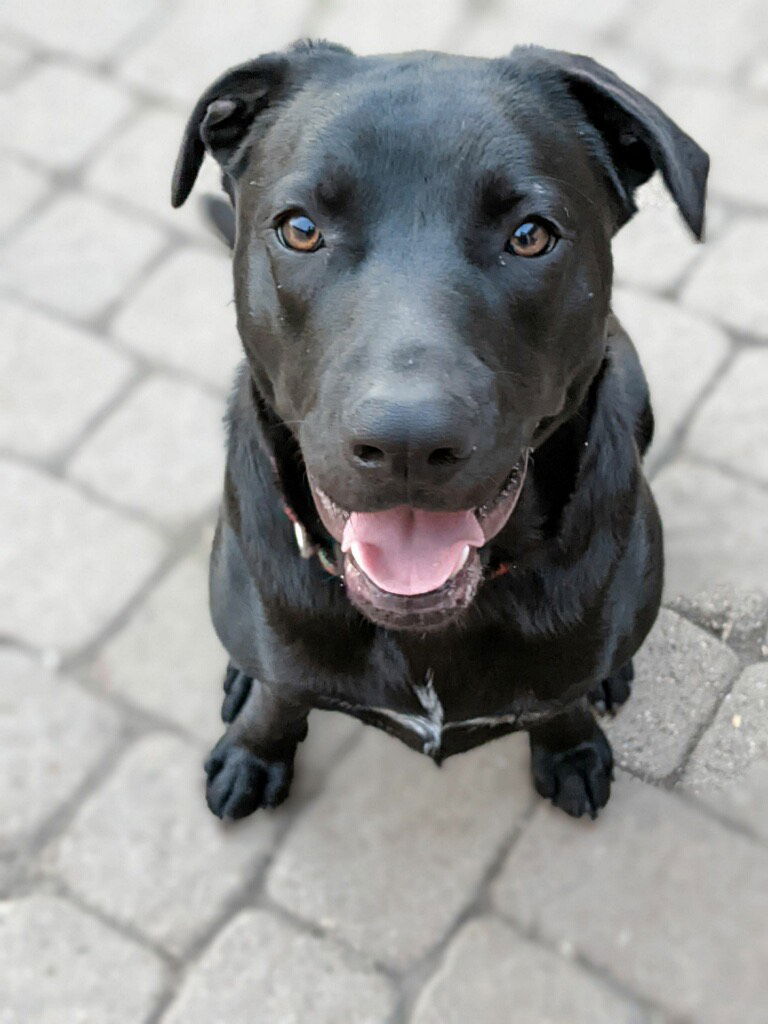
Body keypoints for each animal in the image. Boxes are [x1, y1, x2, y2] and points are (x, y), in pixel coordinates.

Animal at [171, 41, 708, 823]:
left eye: (531, 235)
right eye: (301, 229)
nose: (407, 444)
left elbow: (562, 701)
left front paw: (571, 746)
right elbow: (279, 694)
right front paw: (254, 749)